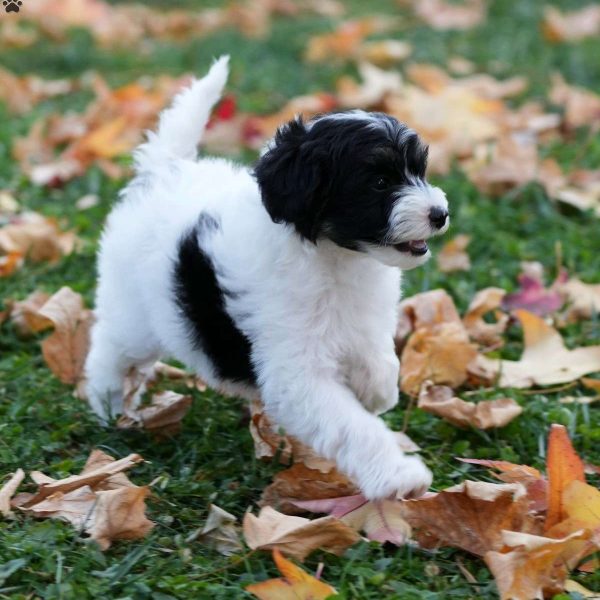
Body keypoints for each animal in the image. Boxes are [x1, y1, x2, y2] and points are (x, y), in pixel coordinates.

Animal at [85, 56, 450, 500]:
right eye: (379, 182)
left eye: (419, 171)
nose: (439, 214)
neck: (335, 256)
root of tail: (162, 172)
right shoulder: (297, 373)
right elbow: (354, 427)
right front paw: (398, 476)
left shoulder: (363, 321)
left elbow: (379, 358)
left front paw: (376, 390)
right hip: (133, 313)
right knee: (110, 348)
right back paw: (109, 404)